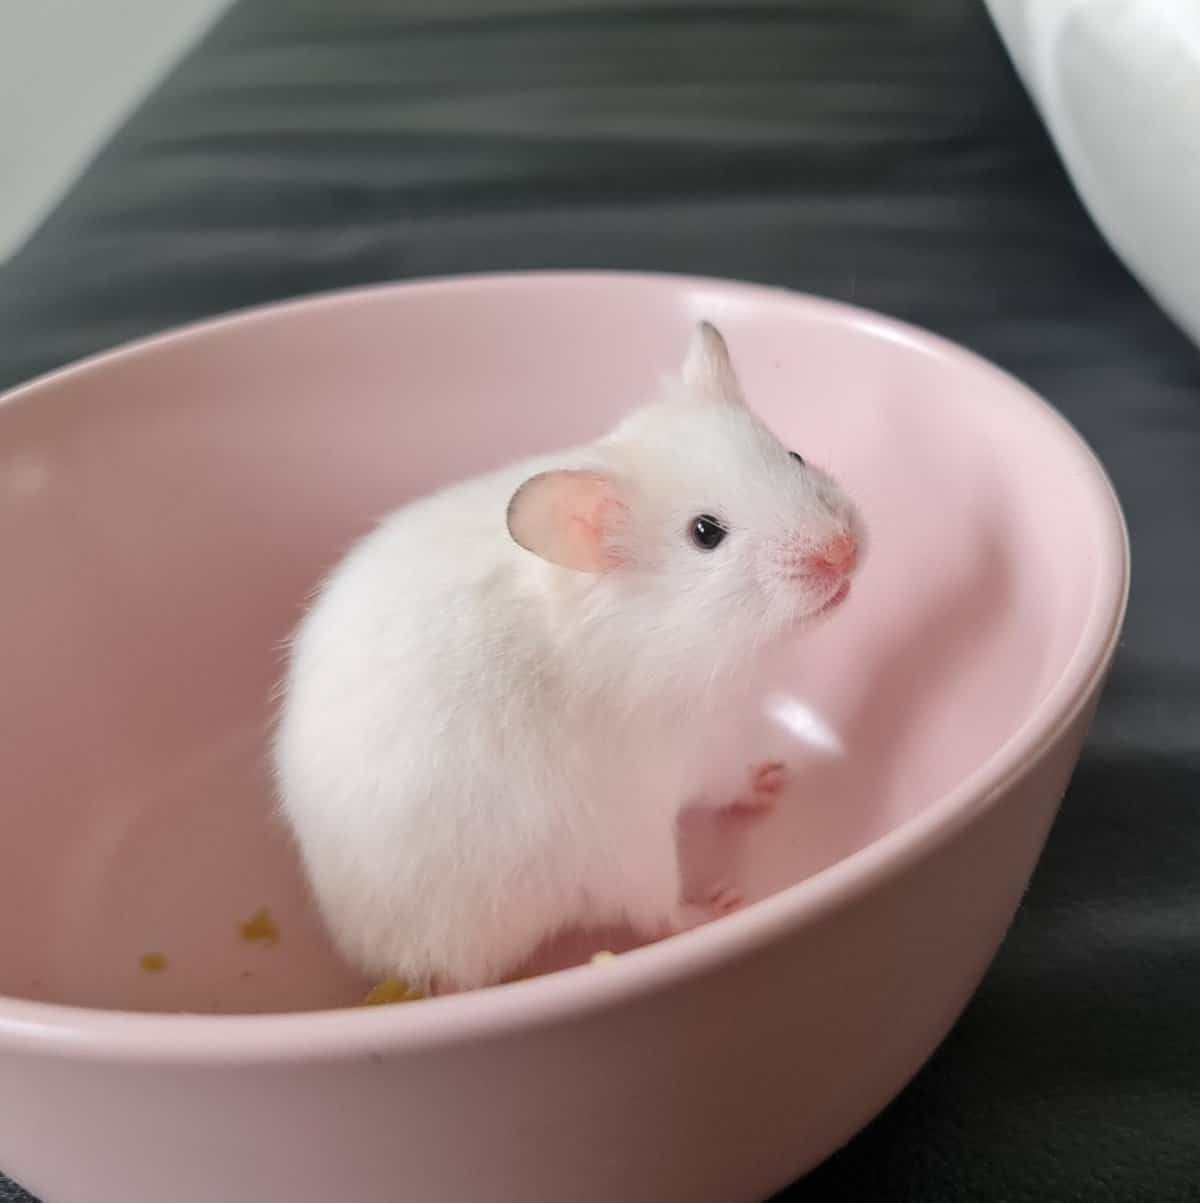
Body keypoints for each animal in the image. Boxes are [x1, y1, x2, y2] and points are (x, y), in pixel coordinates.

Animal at [273, 322, 864, 994]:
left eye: (793, 456)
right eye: (705, 533)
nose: (844, 552)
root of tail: (401, 969)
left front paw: (774, 774)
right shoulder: (694, 747)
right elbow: (724, 783)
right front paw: (768, 784)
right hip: (618, 846)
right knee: (656, 913)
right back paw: (718, 906)